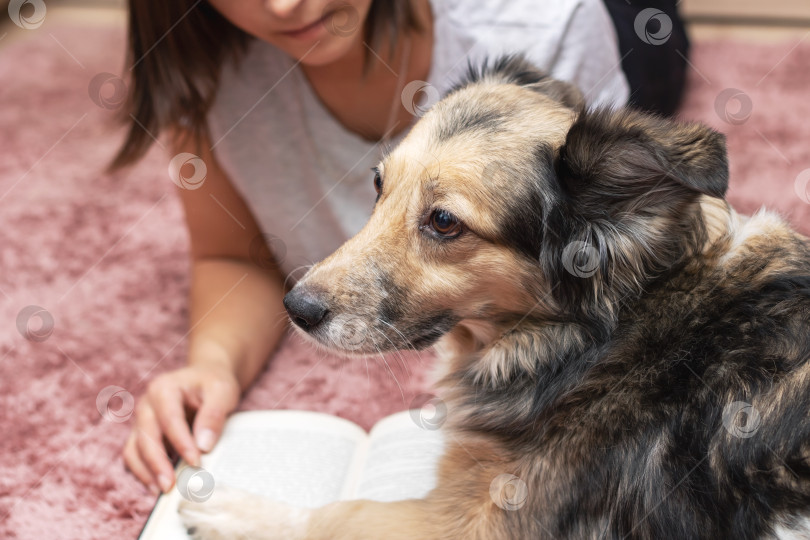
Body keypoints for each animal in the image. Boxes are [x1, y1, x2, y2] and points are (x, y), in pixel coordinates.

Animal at [180, 56, 808, 540]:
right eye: (379, 185)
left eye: (443, 222)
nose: (297, 309)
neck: (598, 342)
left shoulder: (479, 521)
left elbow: (339, 513)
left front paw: (231, 509)